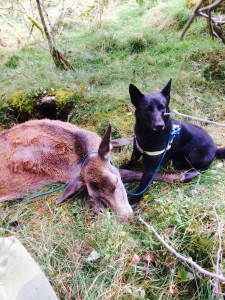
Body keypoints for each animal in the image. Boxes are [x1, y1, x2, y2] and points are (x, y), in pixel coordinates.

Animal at [125, 78, 224, 207]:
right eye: (147, 108)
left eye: (162, 107)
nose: (159, 125)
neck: (147, 133)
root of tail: (216, 149)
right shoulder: (136, 151)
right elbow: (129, 163)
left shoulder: (151, 168)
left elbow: (142, 186)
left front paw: (132, 202)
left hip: (194, 155)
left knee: (198, 169)